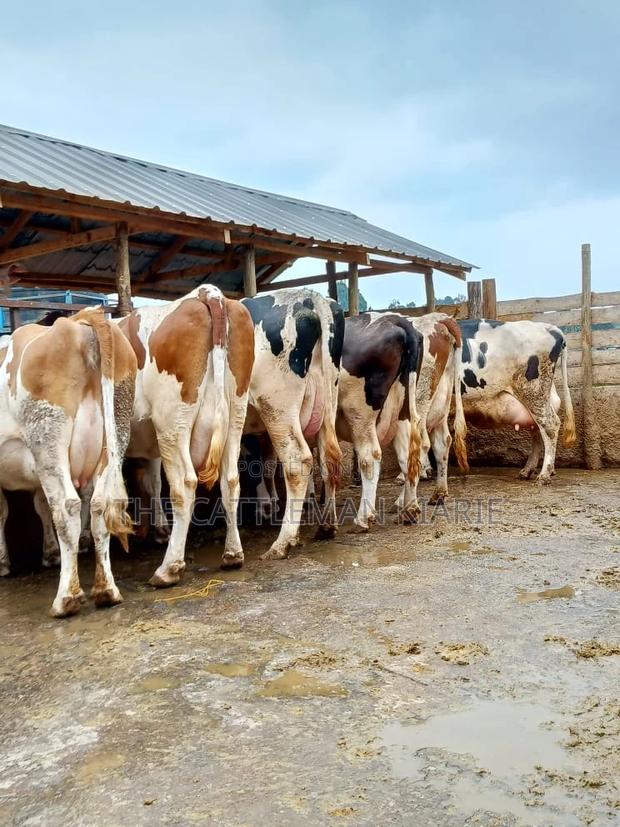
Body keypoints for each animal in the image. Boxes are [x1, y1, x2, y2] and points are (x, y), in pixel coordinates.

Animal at [0, 308, 136, 617]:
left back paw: (66, 598)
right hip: (116, 429)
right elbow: (38, 504)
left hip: (48, 438)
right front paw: (48, 553)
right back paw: (106, 590)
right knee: (100, 506)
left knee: (66, 508)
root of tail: (79, 319)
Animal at [117, 285, 254, 585]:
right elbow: (153, 482)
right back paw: (232, 554)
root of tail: (207, 293)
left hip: (172, 423)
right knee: (230, 480)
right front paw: (157, 530)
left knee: (184, 485)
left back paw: (168, 569)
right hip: (234, 414)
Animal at [241, 288, 343, 559]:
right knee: (329, 457)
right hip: (327, 401)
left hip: (276, 407)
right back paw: (327, 526)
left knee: (298, 460)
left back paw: (282, 541)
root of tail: (309, 296)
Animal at [455, 319, 576, 483]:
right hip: (539, 397)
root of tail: (550, 327)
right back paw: (530, 471)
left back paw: (544, 475)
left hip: (533, 391)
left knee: (550, 425)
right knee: (538, 430)